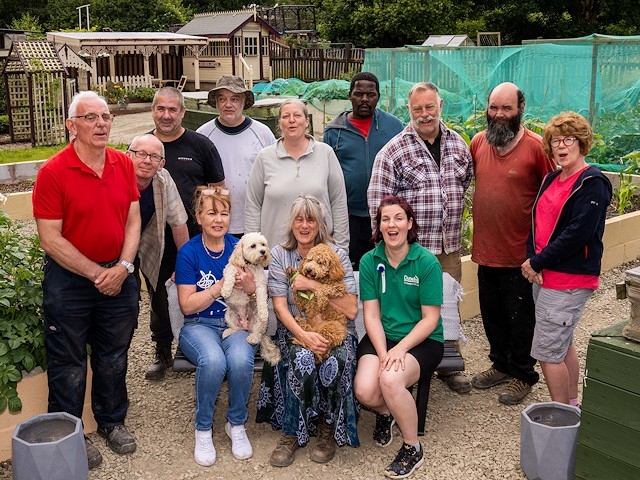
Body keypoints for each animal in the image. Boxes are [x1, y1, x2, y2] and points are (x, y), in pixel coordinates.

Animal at [220, 232, 280, 364]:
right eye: (253, 246)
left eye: (263, 244)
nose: (263, 251)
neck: (249, 265)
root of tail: (246, 327)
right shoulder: (231, 268)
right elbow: (230, 275)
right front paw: (226, 290)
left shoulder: (260, 284)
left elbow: (261, 297)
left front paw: (264, 311)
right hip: (229, 315)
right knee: (236, 328)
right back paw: (228, 331)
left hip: (260, 323)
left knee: (258, 333)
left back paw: (253, 338)